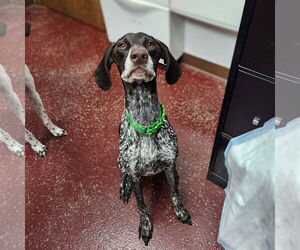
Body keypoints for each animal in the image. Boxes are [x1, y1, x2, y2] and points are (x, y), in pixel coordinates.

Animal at [94, 33, 192, 246]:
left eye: (150, 43)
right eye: (122, 45)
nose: (139, 55)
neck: (145, 117)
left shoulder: (169, 164)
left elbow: (174, 194)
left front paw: (180, 212)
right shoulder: (136, 174)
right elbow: (141, 205)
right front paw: (146, 225)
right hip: (120, 160)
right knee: (124, 173)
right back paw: (125, 187)